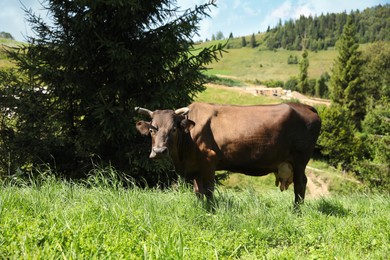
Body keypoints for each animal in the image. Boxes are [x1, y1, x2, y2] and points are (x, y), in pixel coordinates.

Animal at [136, 101, 322, 205]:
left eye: (173, 129)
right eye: (152, 129)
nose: (159, 151)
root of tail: (306, 107)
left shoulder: (209, 162)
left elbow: (209, 189)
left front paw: (211, 210)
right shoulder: (196, 167)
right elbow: (198, 191)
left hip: (300, 160)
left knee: (300, 184)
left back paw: (296, 211)